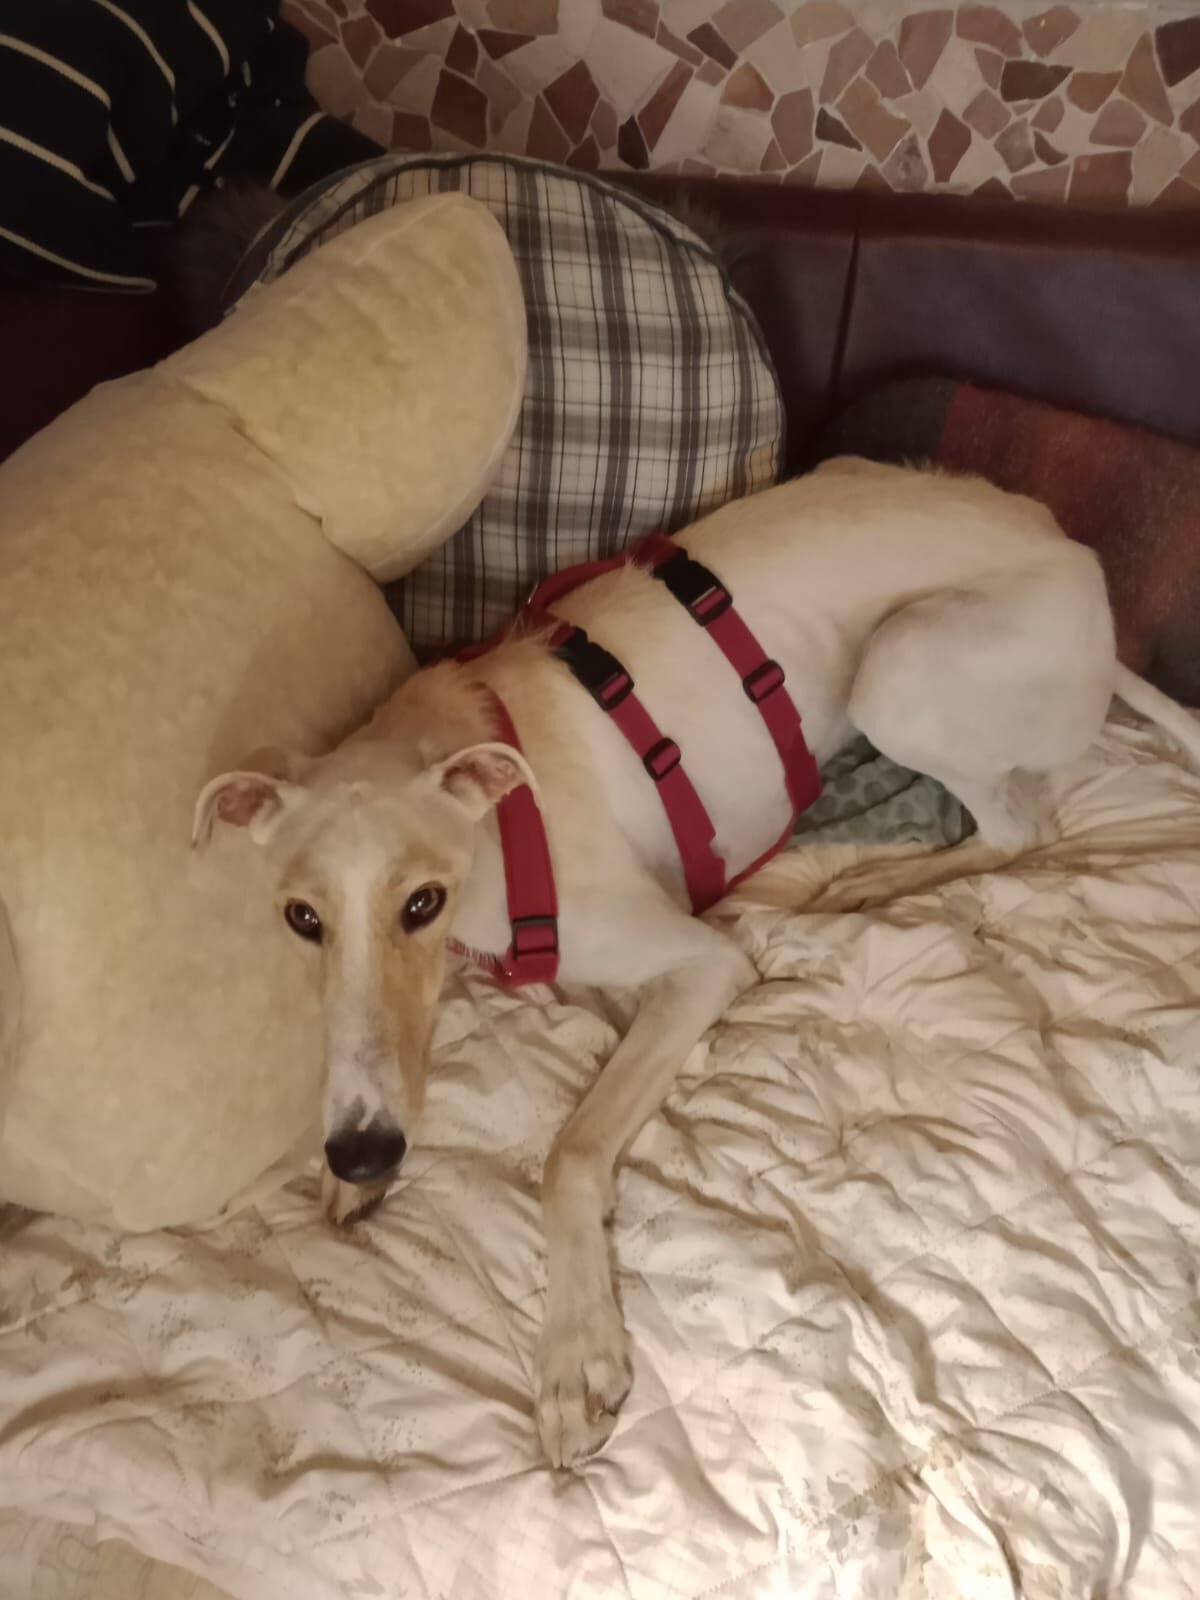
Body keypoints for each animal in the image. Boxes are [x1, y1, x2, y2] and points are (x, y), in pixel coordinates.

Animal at [192, 459, 1200, 1468]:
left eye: (422, 902)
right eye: (302, 918)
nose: (362, 1152)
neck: (499, 820)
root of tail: (1072, 557)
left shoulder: (699, 964)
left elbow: (571, 1152)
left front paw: (574, 1351)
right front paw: (353, 1163)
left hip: (899, 668)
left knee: (1018, 828)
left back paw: (876, 879)